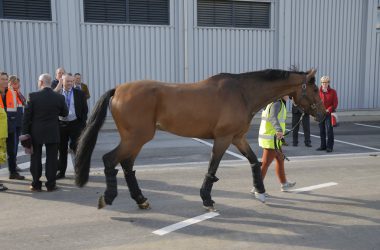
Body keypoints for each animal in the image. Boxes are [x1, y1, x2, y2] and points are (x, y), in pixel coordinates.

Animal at [75, 68, 326, 211]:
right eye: (315, 90)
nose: (324, 114)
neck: (242, 93)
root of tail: (118, 90)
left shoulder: (237, 138)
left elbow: (255, 162)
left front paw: (260, 191)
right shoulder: (223, 139)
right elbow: (212, 168)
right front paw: (207, 200)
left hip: (136, 139)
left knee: (127, 166)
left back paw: (141, 199)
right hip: (136, 138)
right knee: (110, 160)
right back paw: (108, 197)